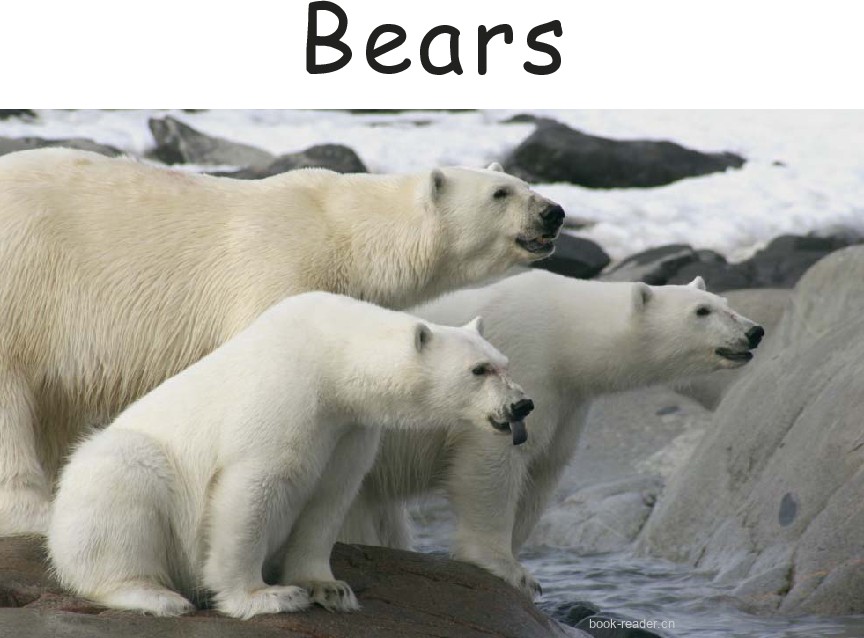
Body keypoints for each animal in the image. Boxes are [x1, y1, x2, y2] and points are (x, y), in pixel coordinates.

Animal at [0, 149, 563, 535]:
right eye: (501, 194)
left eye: (524, 183)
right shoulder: (278, 270)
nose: (554, 212)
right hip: (25, 285)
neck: (344, 233)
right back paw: (35, 511)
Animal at [47, 291, 533, 619]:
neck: (332, 360)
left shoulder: (349, 429)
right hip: (118, 470)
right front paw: (265, 597)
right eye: (479, 370)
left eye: (505, 363)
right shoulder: (286, 396)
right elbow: (251, 490)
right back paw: (155, 596)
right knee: (124, 488)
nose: (522, 405)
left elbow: (329, 499)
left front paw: (329, 588)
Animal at [339, 270, 765, 598]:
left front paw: (523, 567)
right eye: (701, 311)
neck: (563, 336)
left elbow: (541, 470)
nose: (754, 331)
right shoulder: (517, 370)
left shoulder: (567, 404)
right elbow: (490, 465)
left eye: (723, 301)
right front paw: (507, 568)